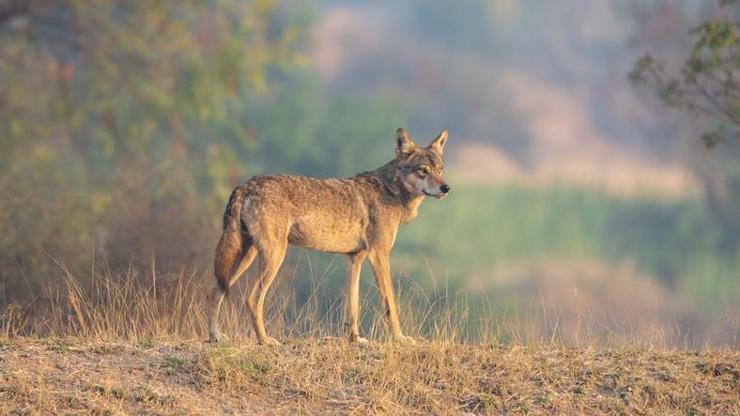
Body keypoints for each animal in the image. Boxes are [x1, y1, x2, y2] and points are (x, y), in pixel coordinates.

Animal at [208, 128, 450, 346]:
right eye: (423, 170)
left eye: (440, 169)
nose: (446, 187)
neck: (391, 190)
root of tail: (246, 185)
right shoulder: (379, 255)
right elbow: (390, 303)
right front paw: (399, 338)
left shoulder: (355, 258)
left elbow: (353, 305)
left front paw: (356, 339)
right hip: (274, 257)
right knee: (251, 300)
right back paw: (265, 340)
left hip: (245, 257)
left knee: (215, 291)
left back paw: (215, 336)